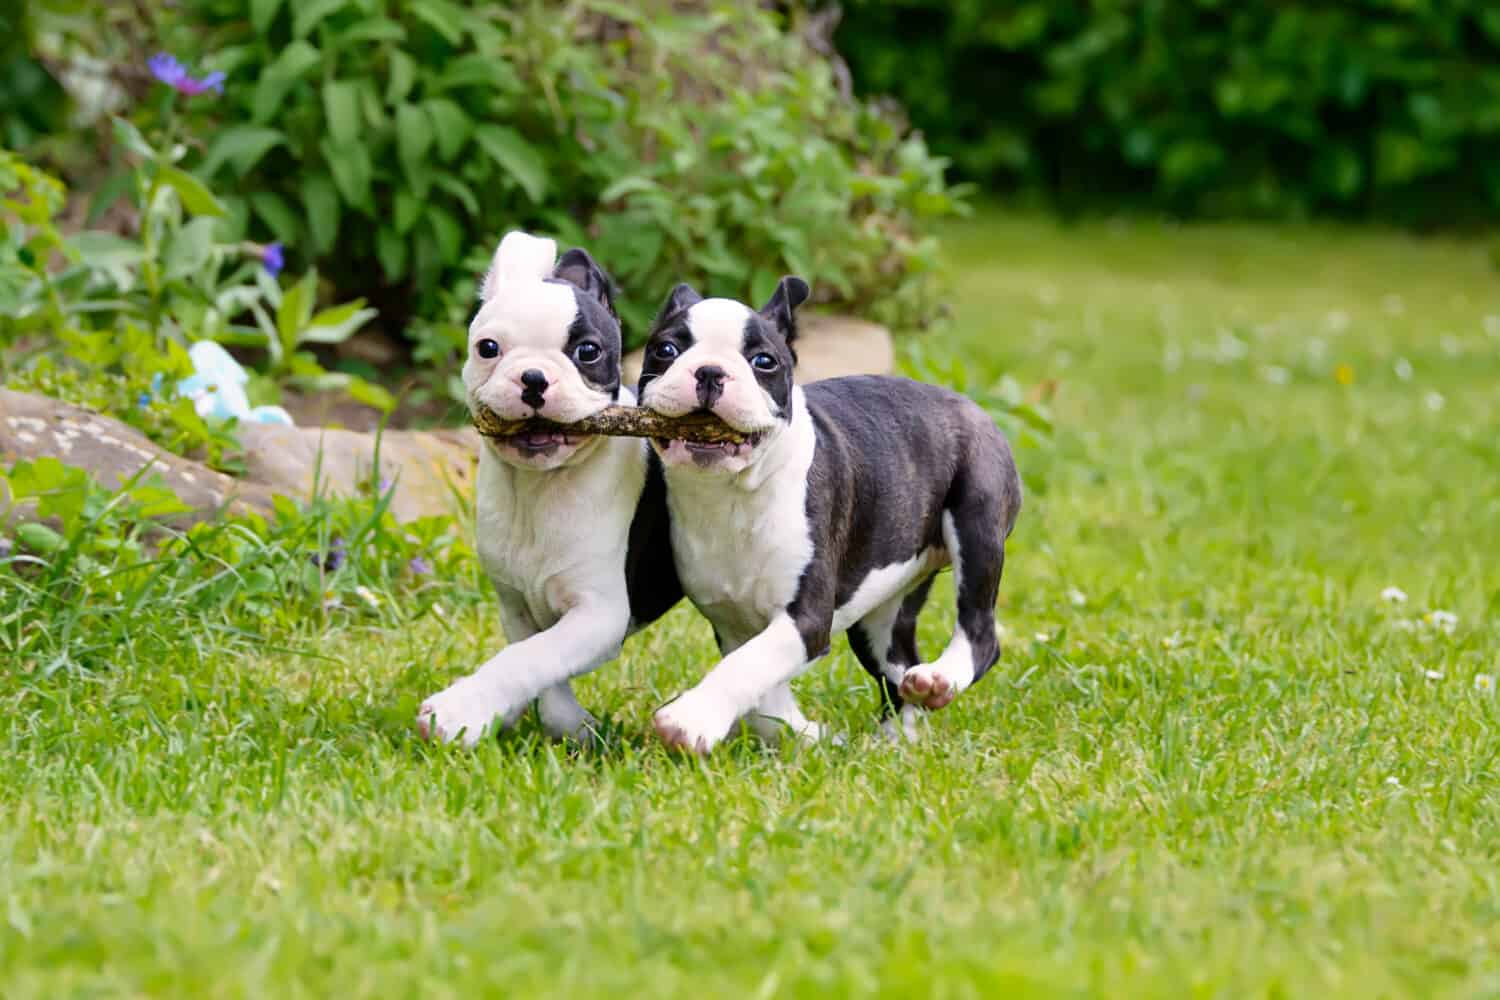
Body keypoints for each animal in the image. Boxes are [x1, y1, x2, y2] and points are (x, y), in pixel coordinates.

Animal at [420, 235, 684, 746]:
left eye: (588, 351)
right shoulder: (516, 605)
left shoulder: (599, 612)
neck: (540, 488)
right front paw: (564, 723)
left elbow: (529, 658)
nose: (534, 377)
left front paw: (461, 709)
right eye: (488, 348)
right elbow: (538, 661)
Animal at [633, 277, 1020, 746]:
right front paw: (805, 736)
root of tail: (972, 405)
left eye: (764, 362)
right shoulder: (731, 622)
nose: (709, 370)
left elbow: (748, 666)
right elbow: (761, 690)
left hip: (977, 517)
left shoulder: (807, 619)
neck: (730, 494)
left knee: (980, 631)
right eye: (666, 350)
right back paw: (900, 736)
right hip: (885, 603)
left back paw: (942, 678)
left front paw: (691, 718)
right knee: (897, 662)